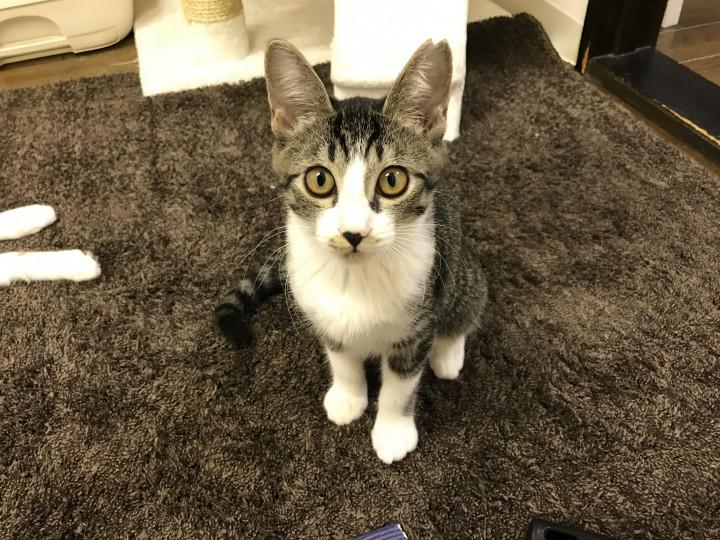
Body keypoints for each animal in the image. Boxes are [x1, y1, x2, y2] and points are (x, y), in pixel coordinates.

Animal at [216, 38, 487, 464]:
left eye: (392, 180)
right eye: (319, 179)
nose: (354, 233)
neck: (355, 277)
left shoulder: (416, 326)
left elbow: (401, 384)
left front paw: (392, 431)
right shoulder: (323, 314)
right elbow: (342, 360)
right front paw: (348, 398)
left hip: (458, 264)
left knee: (466, 304)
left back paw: (448, 354)